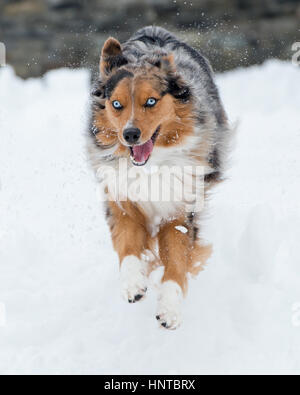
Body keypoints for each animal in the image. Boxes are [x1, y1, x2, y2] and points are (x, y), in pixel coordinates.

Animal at [88, 26, 231, 332]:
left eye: (151, 101)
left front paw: (169, 308)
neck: (151, 168)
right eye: (116, 104)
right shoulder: (121, 198)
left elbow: (176, 260)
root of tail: (154, 30)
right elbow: (128, 247)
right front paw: (133, 283)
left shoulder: (180, 207)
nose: (130, 134)